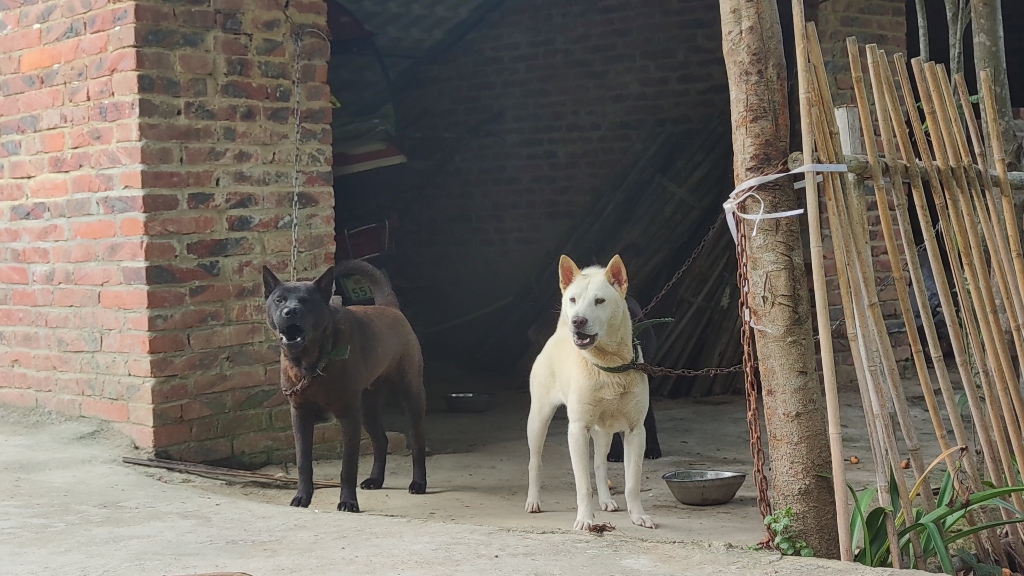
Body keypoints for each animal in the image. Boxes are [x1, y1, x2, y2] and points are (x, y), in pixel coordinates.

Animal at [520, 254, 655, 528]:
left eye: (599, 301)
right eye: (573, 300)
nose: (577, 321)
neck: (609, 366)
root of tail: (559, 332)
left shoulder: (636, 430)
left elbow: (632, 483)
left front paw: (638, 515)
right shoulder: (578, 429)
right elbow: (582, 484)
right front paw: (585, 519)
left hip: (604, 430)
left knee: (600, 463)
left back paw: (606, 500)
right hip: (538, 419)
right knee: (534, 461)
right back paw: (533, 501)